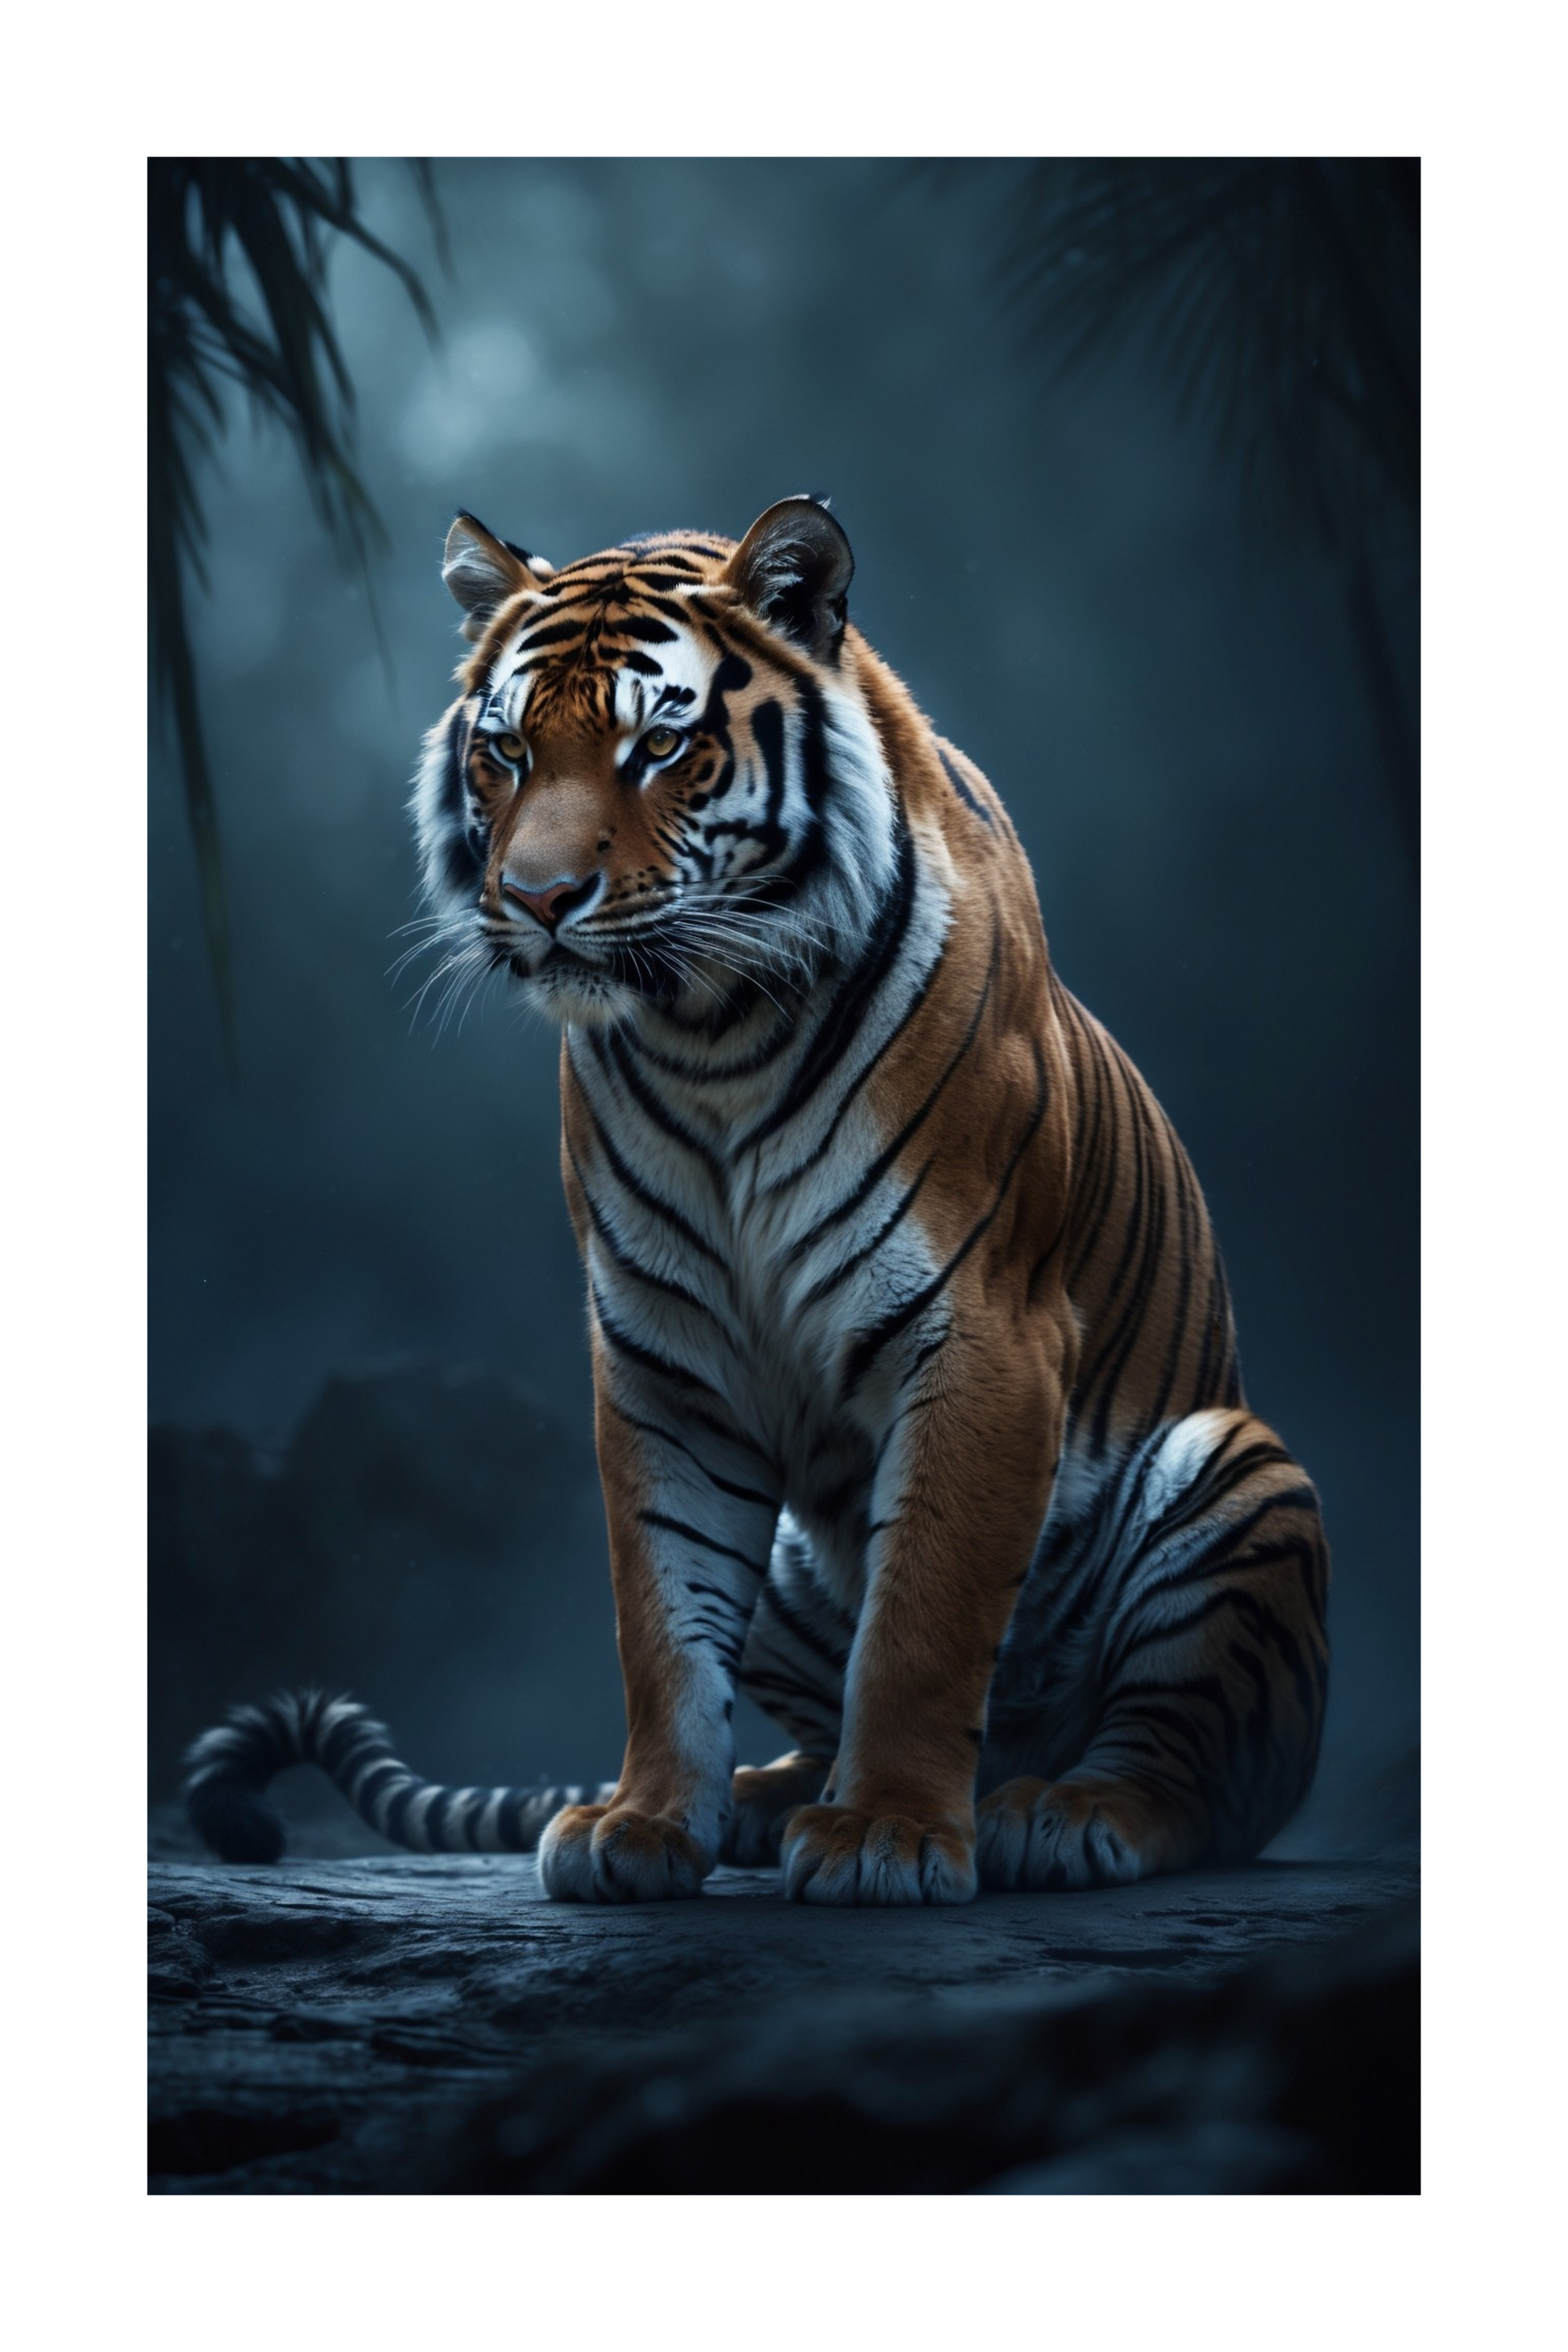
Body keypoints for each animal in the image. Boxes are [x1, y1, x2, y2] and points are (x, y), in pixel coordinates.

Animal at [185, 496, 1329, 1906]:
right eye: (506, 751)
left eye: (659, 745)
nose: (536, 900)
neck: (710, 1031)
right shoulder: (661, 1356)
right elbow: (663, 1617)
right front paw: (641, 1823)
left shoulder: (983, 1336)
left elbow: (923, 1617)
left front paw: (888, 1832)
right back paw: (766, 1800)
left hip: (1238, 1473)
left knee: (1208, 1774)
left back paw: (1060, 1810)